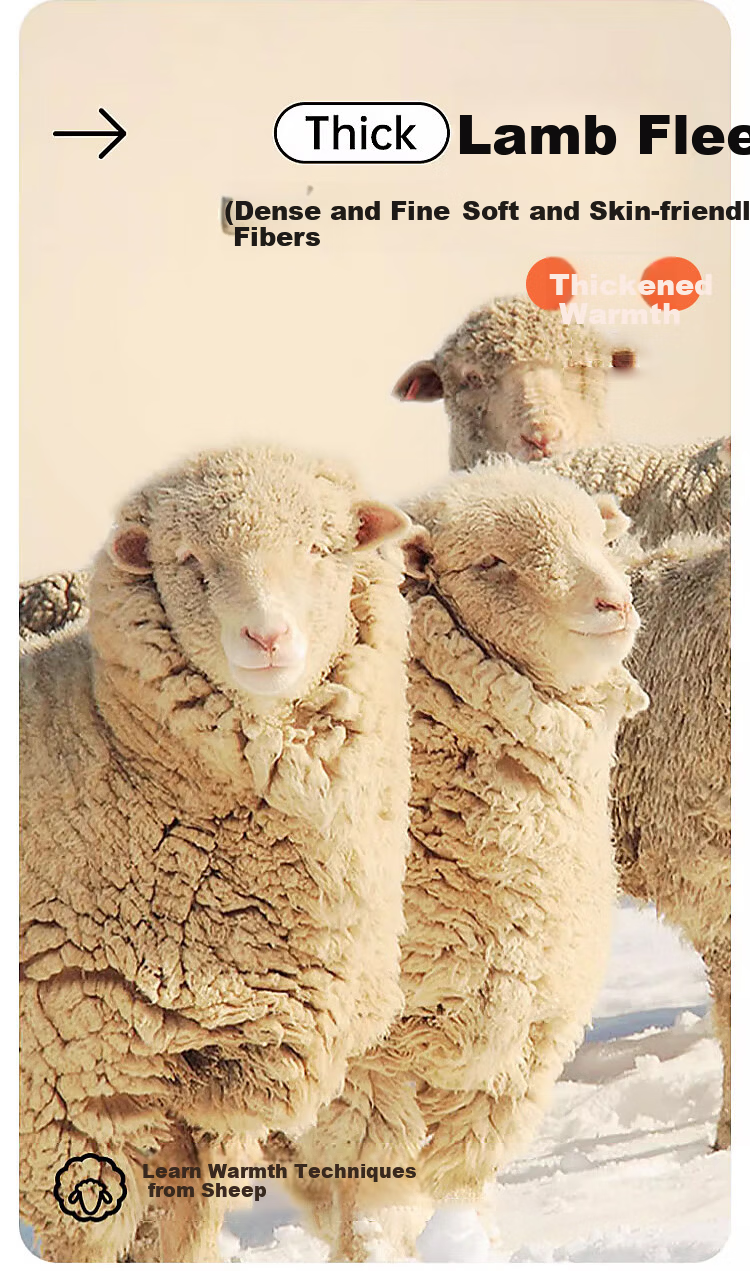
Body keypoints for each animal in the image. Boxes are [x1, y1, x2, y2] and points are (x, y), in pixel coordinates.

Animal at [20, 443, 413, 1263]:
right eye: (190, 560)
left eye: (320, 549)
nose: (267, 638)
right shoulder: (67, 1087)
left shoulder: (192, 1109)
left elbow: (179, 1239)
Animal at [270, 459, 648, 1261]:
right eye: (492, 563)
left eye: (598, 536)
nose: (613, 602)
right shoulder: (363, 1061)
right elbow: (374, 1185)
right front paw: (374, 1249)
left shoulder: (517, 1046)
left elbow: (460, 1174)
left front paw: (465, 1240)